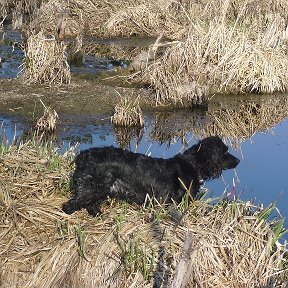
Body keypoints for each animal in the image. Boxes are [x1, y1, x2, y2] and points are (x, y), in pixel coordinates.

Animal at [62, 137, 238, 216]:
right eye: (225, 152)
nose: (238, 160)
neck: (192, 163)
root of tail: (83, 155)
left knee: (90, 204)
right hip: (92, 187)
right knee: (70, 205)